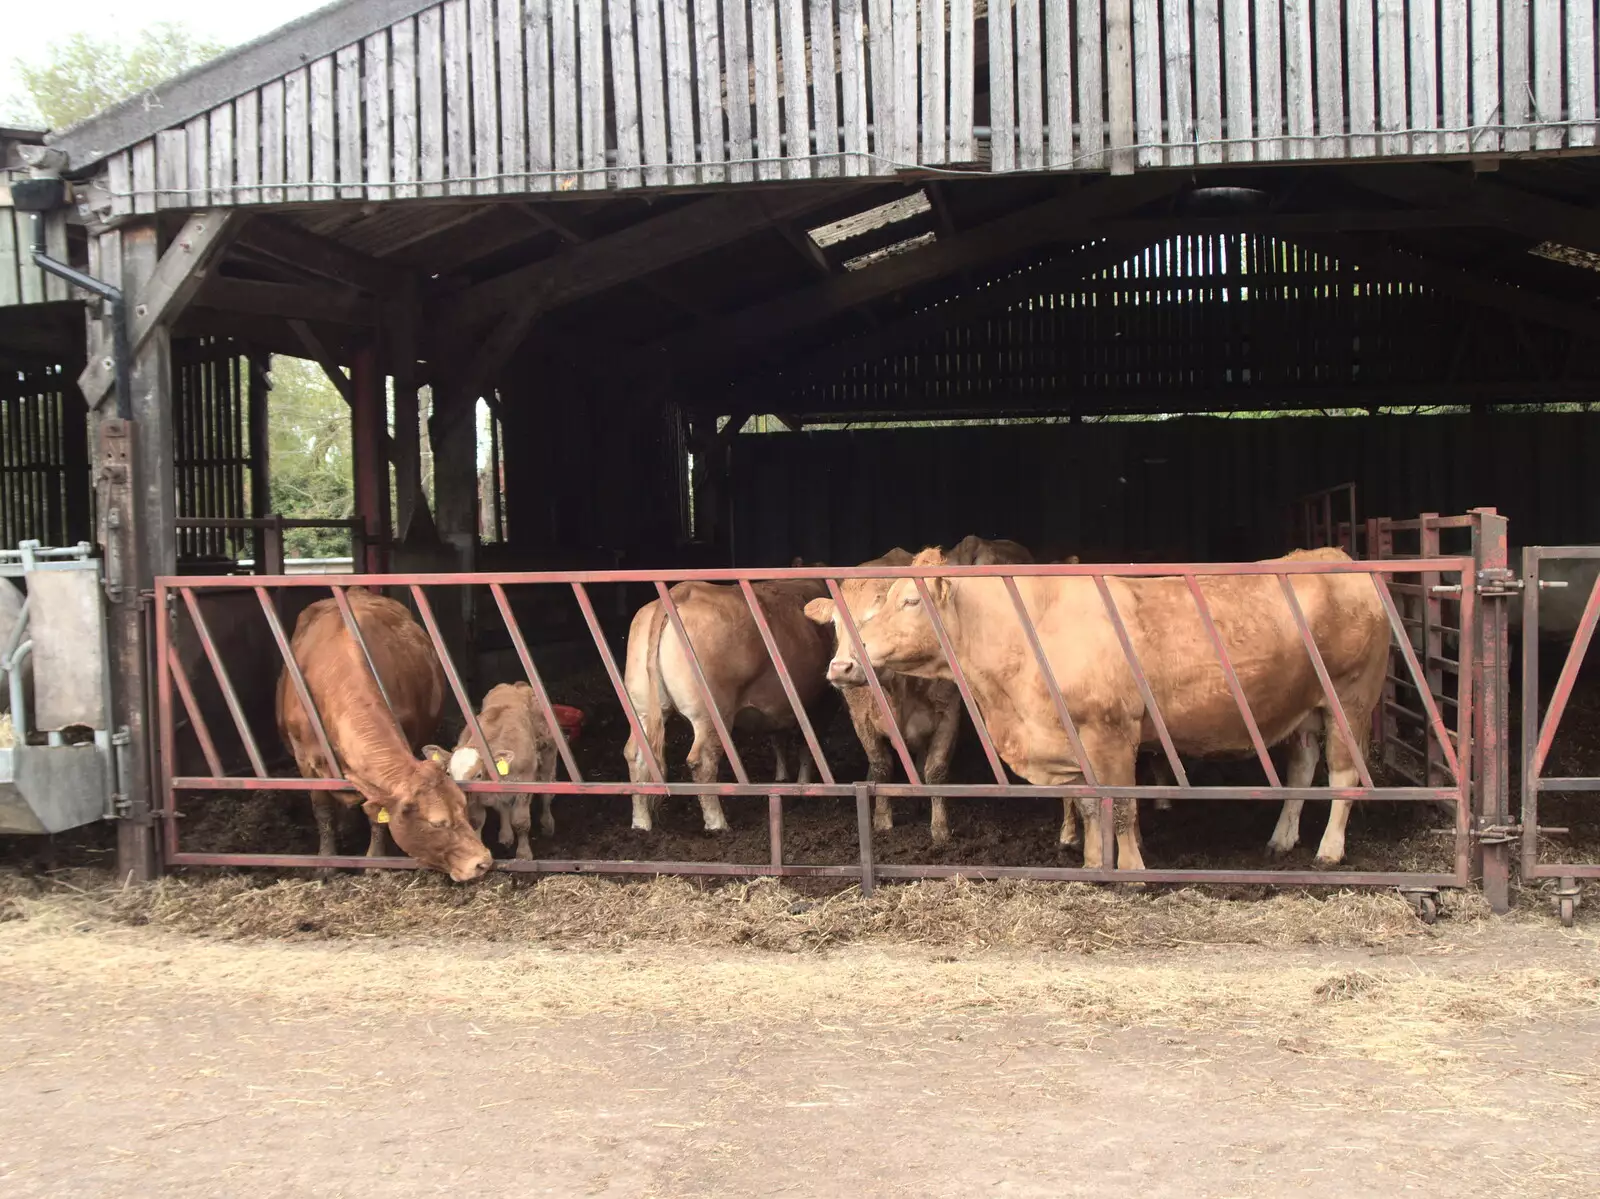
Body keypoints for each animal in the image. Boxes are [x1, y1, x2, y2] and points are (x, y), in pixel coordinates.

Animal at [275, 589, 489, 877]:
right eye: (437, 823)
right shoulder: (304, 759)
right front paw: (327, 862)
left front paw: (375, 861)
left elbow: (376, 816)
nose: (483, 861)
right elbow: (322, 809)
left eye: (463, 808)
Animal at [425, 681, 563, 858]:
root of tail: (516, 685)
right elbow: (477, 821)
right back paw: (506, 835)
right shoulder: (477, 797)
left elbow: (521, 822)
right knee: (503, 805)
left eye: (478, 775)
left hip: (548, 754)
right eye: (448, 773)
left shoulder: (524, 783)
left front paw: (524, 854)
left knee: (547, 792)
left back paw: (547, 824)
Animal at [620, 579, 832, 832]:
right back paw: (717, 823)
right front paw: (805, 783)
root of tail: (681, 591)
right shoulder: (817, 702)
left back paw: (641, 821)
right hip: (711, 714)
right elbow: (807, 744)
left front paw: (782, 777)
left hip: (642, 706)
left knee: (636, 754)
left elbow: (778, 739)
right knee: (702, 761)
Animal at [806, 534, 1043, 838]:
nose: (840, 668)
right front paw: (882, 819)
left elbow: (936, 770)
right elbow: (881, 767)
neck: (897, 688)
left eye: (872, 618)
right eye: (835, 622)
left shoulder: (949, 713)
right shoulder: (861, 719)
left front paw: (940, 829)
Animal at [851, 544, 1388, 870]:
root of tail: (1332, 555)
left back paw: (1329, 851)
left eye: (910, 602)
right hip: (1305, 708)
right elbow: (1092, 806)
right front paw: (1093, 864)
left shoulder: (1111, 733)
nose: (844, 661)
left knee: (1344, 775)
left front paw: (1129, 870)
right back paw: (1282, 838)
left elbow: (1124, 806)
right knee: (1302, 767)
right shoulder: (1072, 742)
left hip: (1351, 699)